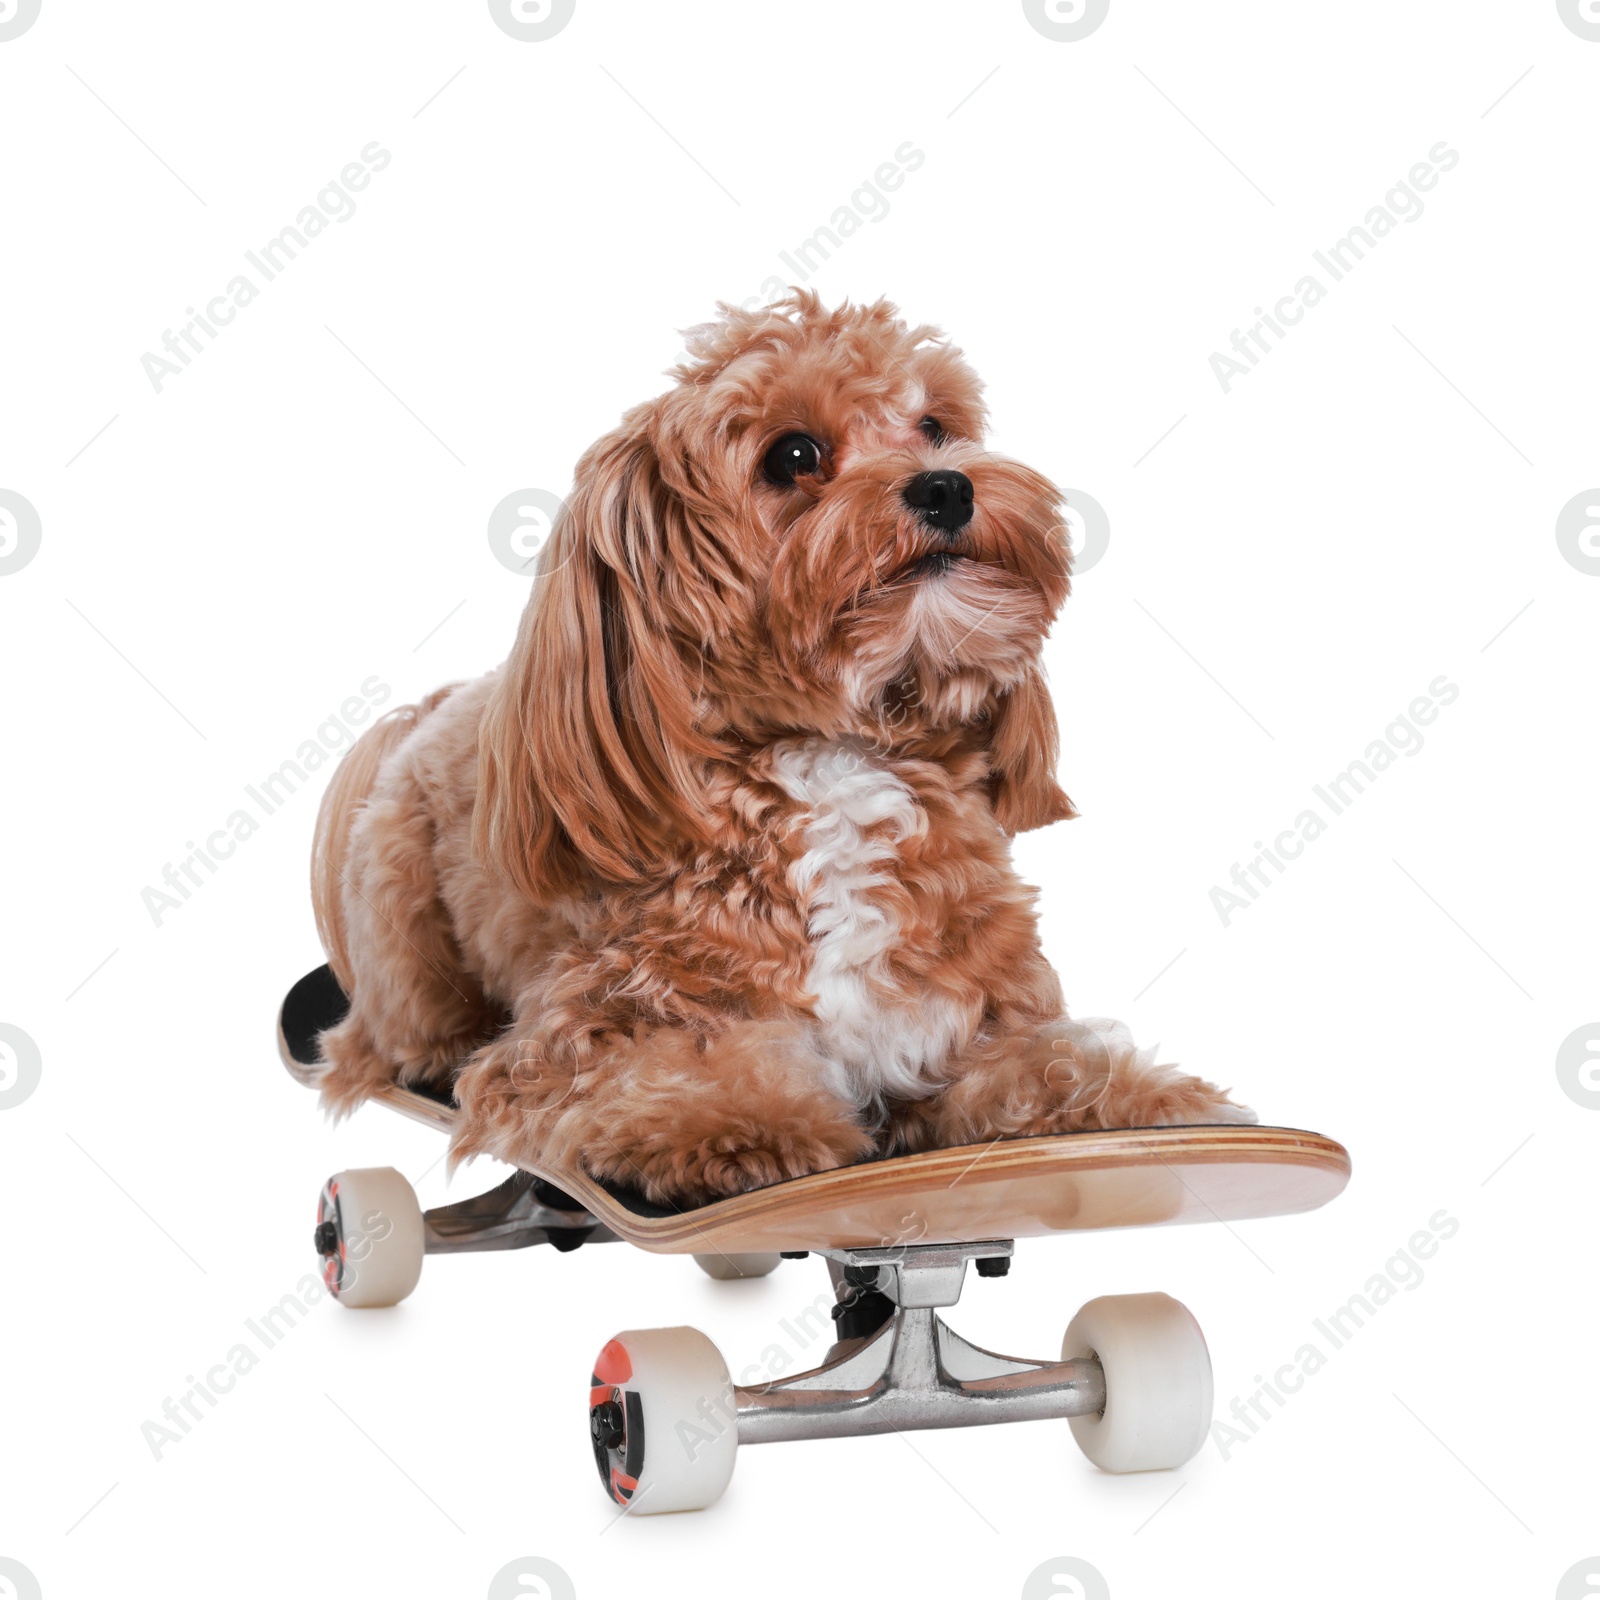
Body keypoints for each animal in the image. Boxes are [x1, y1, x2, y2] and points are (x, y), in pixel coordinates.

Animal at [312, 294, 1254, 1203]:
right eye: (793, 455)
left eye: (935, 426)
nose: (947, 486)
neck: (840, 755)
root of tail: (433, 707)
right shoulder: (568, 1041)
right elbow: (673, 1073)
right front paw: (739, 1125)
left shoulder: (967, 1018)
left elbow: (1048, 1065)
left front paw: (1152, 1102)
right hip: (400, 920)